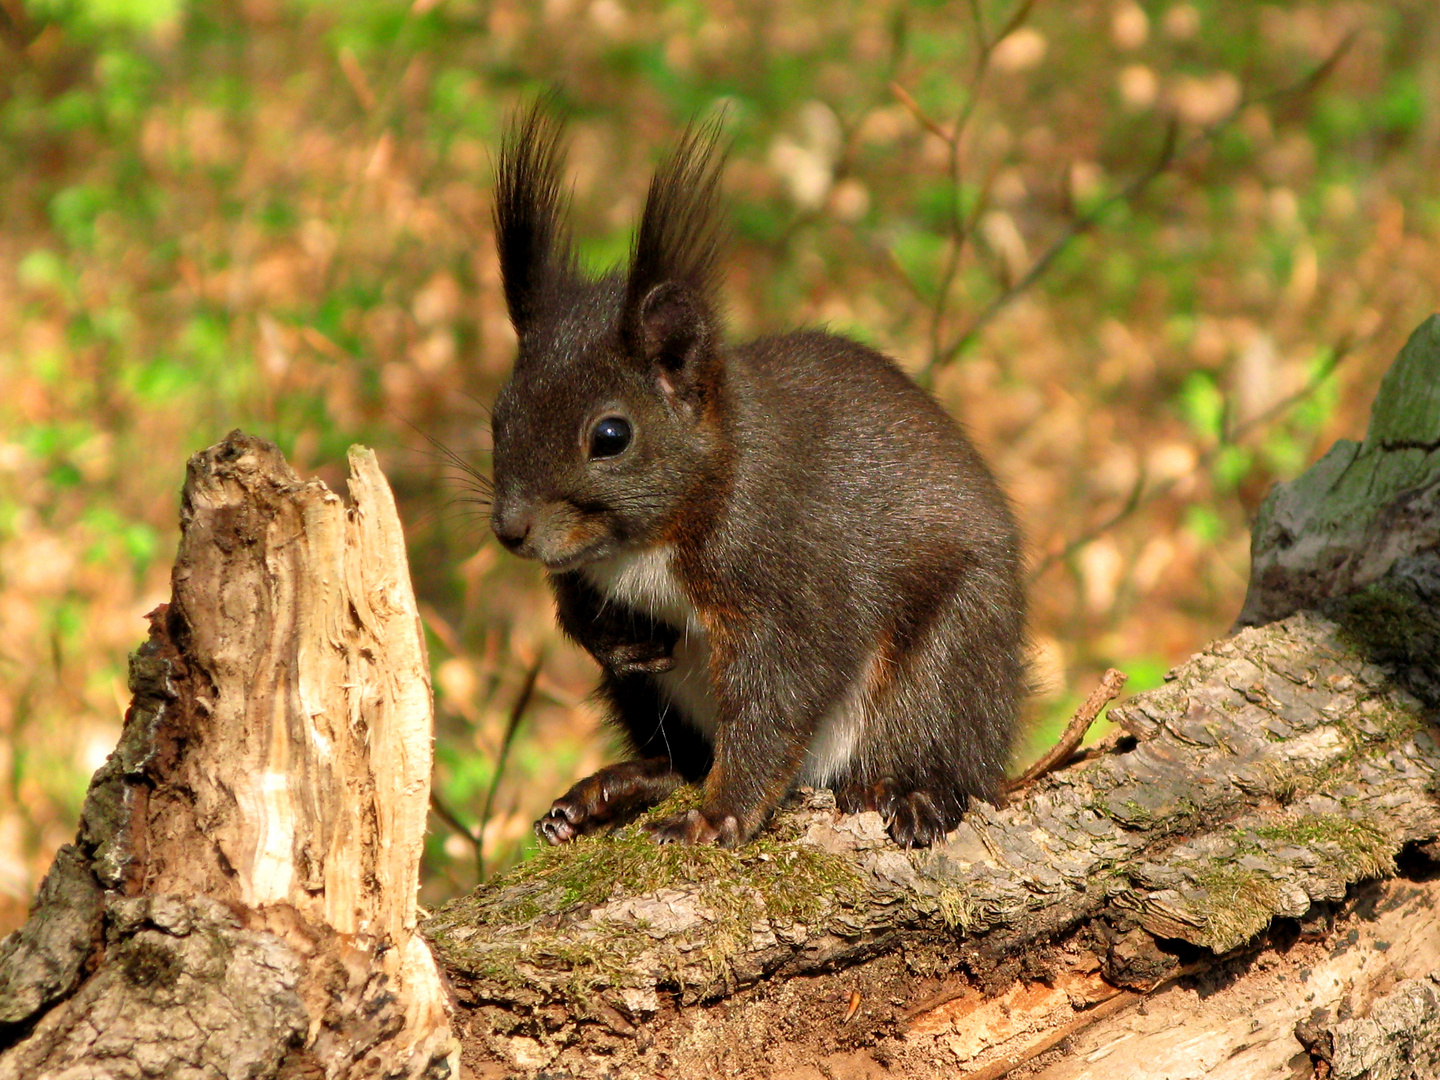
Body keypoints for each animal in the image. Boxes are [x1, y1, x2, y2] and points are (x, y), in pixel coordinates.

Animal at [486, 108, 1025, 852]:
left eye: (611, 436)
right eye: (496, 417)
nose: (511, 530)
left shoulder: (789, 574)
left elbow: (777, 700)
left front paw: (719, 818)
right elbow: (578, 610)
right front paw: (615, 639)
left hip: (955, 653)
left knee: (945, 737)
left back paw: (914, 791)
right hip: (649, 699)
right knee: (683, 758)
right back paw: (609, 791)